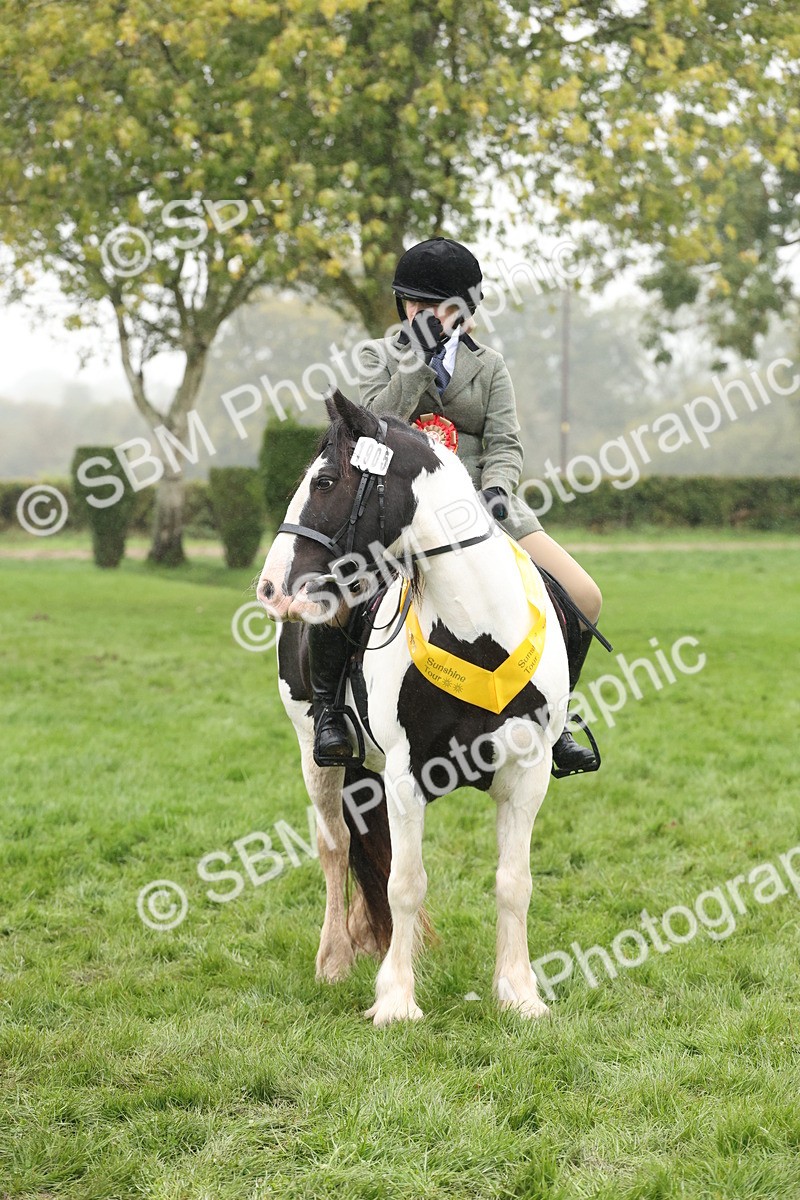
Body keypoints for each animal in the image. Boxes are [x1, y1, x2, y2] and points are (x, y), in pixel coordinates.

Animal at [256, 390, 571, 1026]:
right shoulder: (407, 775)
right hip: (316, 754)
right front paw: (396, 999)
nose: (271, 587)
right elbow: (404, 883)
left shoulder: (528, 773)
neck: (477, 631)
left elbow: (514, 882)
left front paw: (519, 993)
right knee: (336, 848)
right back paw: (335, 958)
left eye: (325, 480)